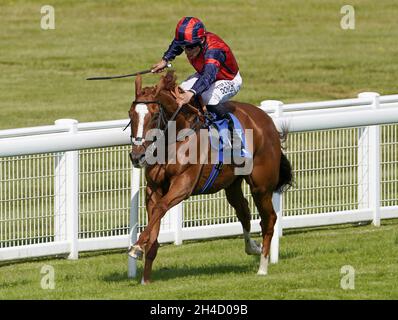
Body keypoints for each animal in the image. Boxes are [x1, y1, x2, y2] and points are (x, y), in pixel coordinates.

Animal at [127, 71, 292, 284]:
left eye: (154, 115)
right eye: (131, 114)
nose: (137, 156)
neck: (177, 136)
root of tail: (268, 121)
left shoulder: (183, 185)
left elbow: (161, 208)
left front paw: (136, 247)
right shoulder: (153, 188)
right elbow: (155, 217)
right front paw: (145, 277)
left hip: (261, 186)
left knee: (269, 219)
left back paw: (262, 266)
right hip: (232, 184)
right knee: (244, 212)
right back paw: (252, 248)